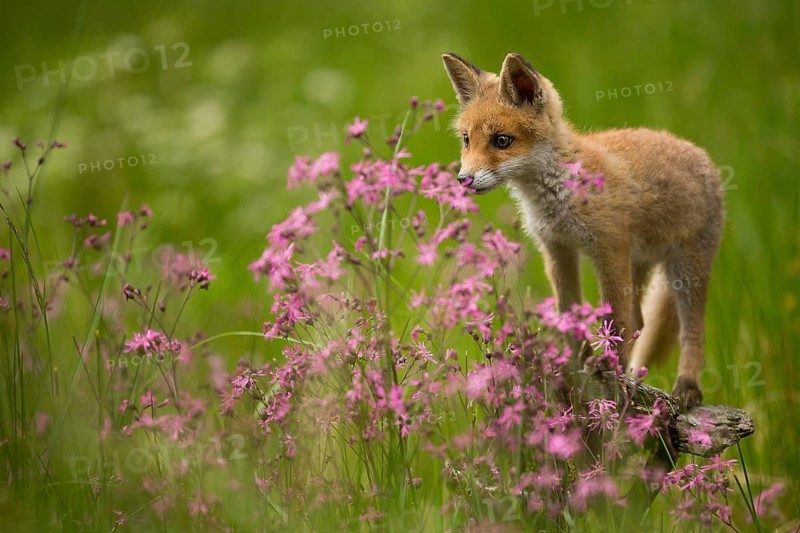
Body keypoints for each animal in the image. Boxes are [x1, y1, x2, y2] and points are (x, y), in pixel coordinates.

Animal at [442, 52, 724, 411]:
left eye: (502, 141)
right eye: (466, 139)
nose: (463, 179)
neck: (559, 194)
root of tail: (701, 154)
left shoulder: (609, 248)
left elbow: (615, 319)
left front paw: (608, 364)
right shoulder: (557, 248)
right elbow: (569, 311)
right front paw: (577, 357)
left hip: (685, 269)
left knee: (691, 329)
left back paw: (686, 386)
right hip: (639, 265)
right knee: (641, 322)